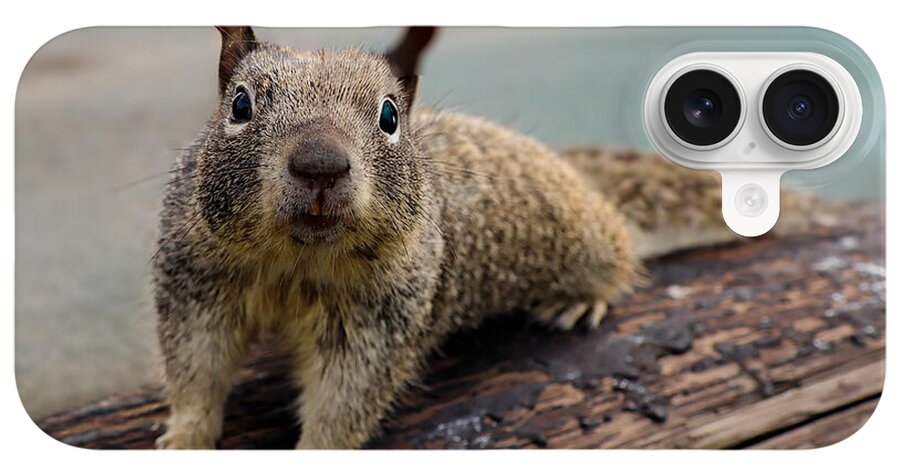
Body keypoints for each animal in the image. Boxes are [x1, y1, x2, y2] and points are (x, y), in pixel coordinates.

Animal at [153, 26, 813, 449]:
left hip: (587, 238)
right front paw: (184, 439)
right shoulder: (196, 282)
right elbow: (196, 369)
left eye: (390, 116)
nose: (320, 164)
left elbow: (346, 399)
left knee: (618, 252)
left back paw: (580, 298)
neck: (298, 261)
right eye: (240, 104)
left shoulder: (380, 318)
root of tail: (576, 175)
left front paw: (316, 451)